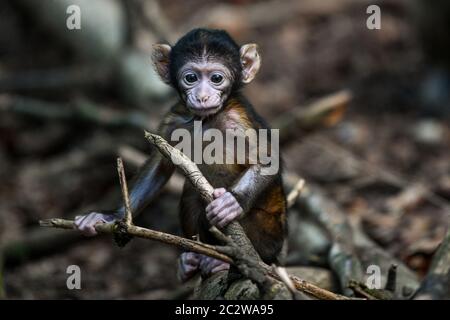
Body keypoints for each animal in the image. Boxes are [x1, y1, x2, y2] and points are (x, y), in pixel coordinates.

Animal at [73, 28, 284, 282]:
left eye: (216, 78)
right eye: (191, 78)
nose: (202, 96)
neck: (204, 120)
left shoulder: (238, 122)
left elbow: (269, 160)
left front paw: (231, 201)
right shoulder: (172, 120)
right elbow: (158, 168)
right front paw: (111, 217)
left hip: (269, 237)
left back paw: (226, 261)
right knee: (191, 196)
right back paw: (193, 259)